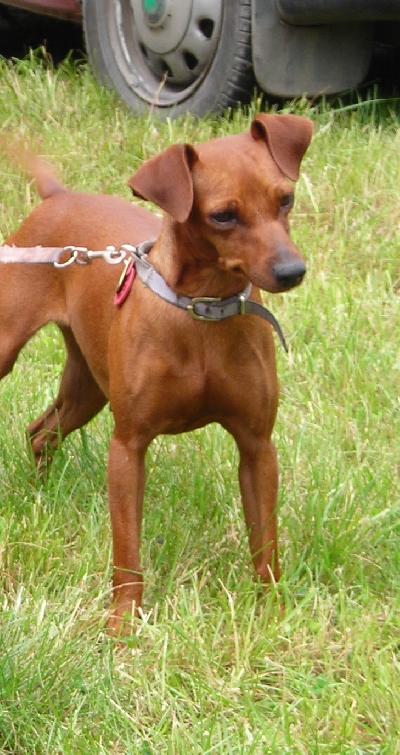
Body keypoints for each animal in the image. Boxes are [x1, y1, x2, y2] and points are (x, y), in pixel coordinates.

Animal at [1, 114, 313, 632]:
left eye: (285, 199)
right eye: (223, 216)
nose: (292, 271)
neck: (202, 309)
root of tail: (59, 197)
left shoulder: (256, 447)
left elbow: (265, 543)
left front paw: (273, 611)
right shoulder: (128, 446)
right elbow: (127, 550)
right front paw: (124, 623)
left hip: (88, 387)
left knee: (41, 431)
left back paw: (40, 495)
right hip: (11, 350)